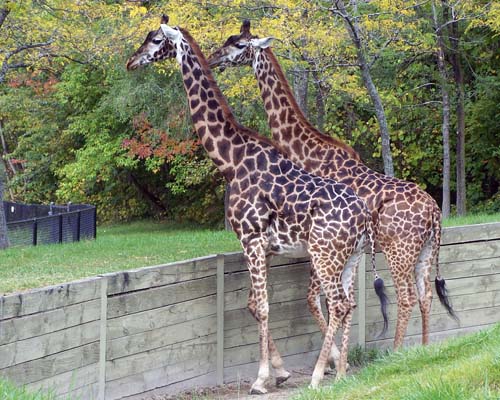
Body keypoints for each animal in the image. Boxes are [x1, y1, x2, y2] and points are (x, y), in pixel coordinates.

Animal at [126, 16, 386, 394]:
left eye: (157, 39)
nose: (130, 61)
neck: (230, 159)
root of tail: (364, 217)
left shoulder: (250, 239)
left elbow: (262, 306)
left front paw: (262, 379)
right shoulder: (264, 246)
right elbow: (253, 303)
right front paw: (279, 371)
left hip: (325, 255)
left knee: (338, 302)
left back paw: (318, 375)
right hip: (350, 258)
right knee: (348, 303)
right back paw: (340, 371)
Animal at [207, 20, 458, 348]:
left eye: (238, 45)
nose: (213, 58)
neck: (305, 150)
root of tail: (434, 213)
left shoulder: (321, 247)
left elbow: (323, 300)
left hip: (398, 250)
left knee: (406, 297)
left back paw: (396, 351)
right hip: (426, 250)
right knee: (425, 293)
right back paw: (424, 349)